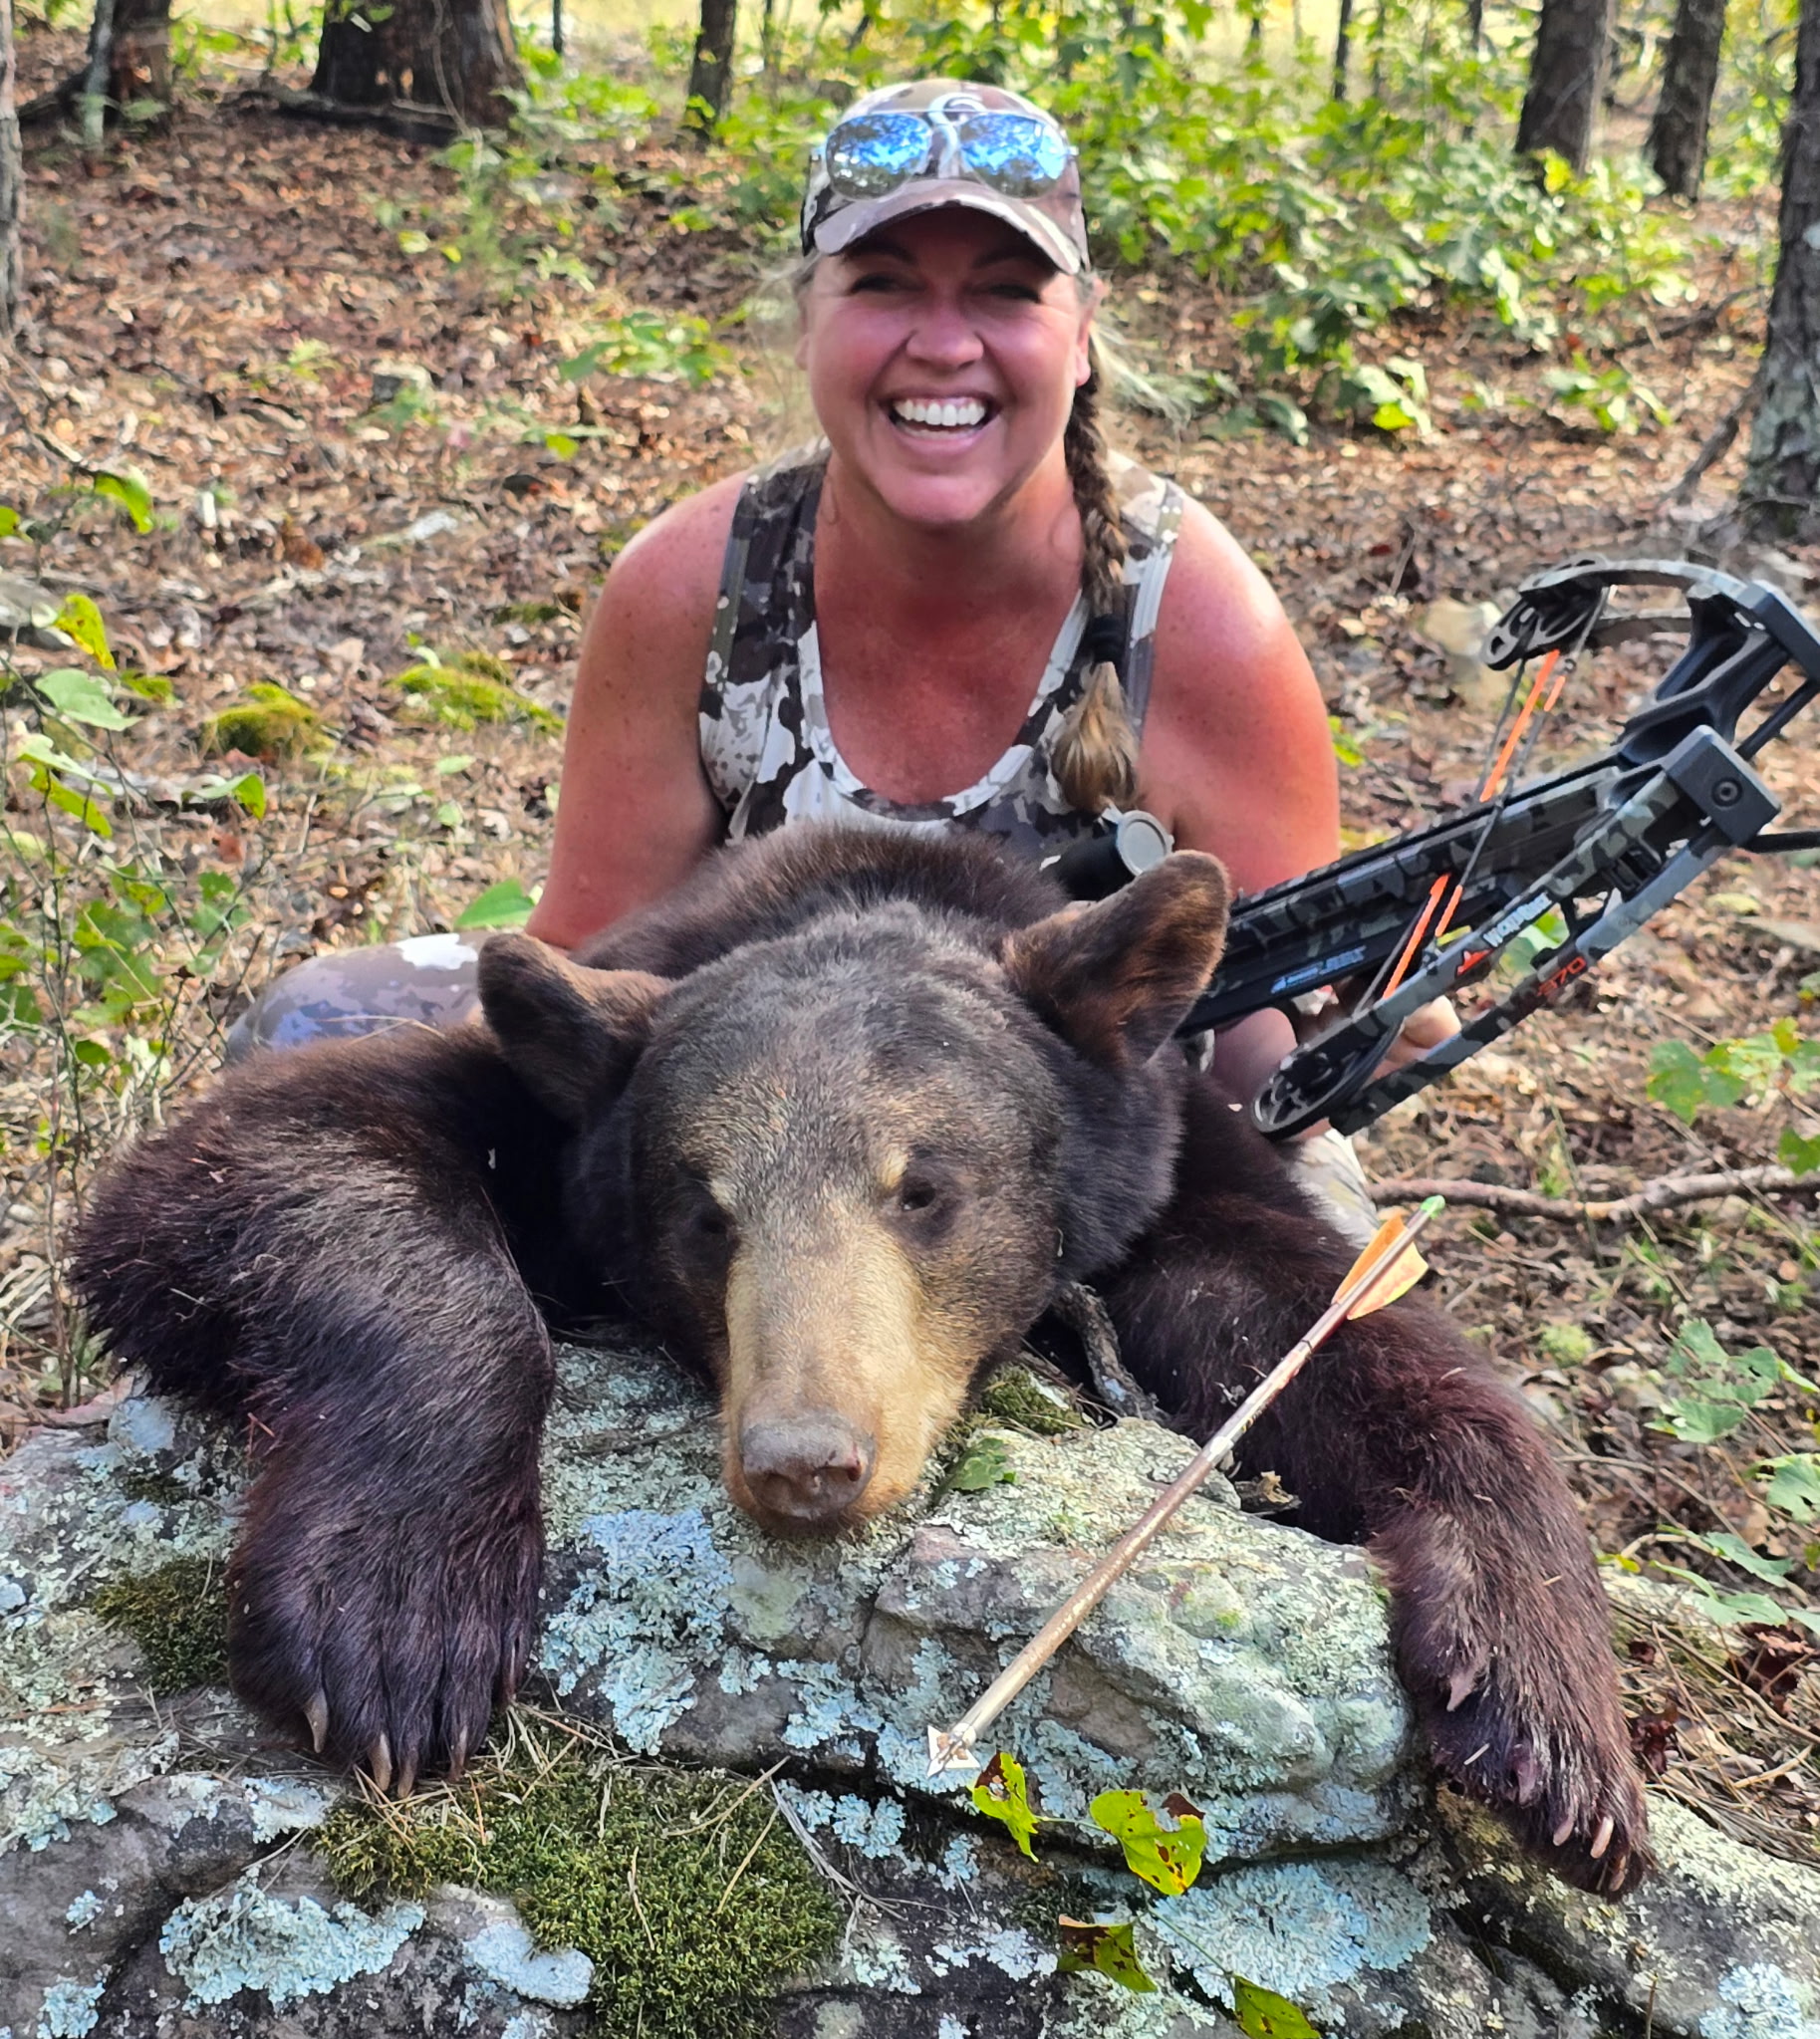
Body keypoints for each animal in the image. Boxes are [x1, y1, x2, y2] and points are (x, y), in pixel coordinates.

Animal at [71, 821, 1649, 1894]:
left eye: (922, 1185)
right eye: (704, 1211)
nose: (804, 1459)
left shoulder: (1168, 1160)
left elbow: (1346, 1333)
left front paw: (1552, 1724)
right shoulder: (542, 1084)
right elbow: (256, 1159)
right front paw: (395, 1613)